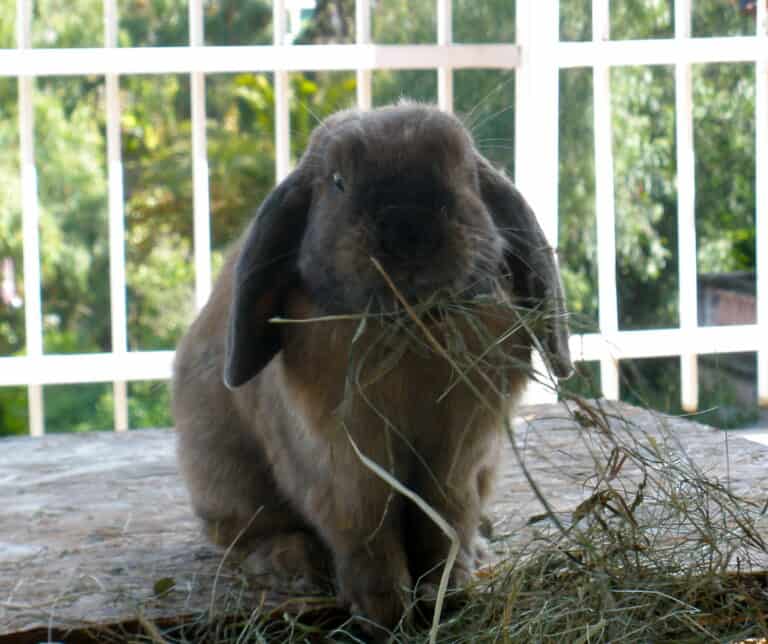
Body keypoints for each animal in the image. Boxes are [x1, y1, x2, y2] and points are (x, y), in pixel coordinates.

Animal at [174, 102, 568, 632]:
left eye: (464, 172)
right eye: (337, 181)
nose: (409, 230)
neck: (410, 332)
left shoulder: (458, 460)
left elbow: (445, 521)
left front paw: (448, 587)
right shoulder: (342, 464)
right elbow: (363, 527)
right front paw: (383, 610)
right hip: (222, 474)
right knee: (247, 533)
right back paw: (291, 564)